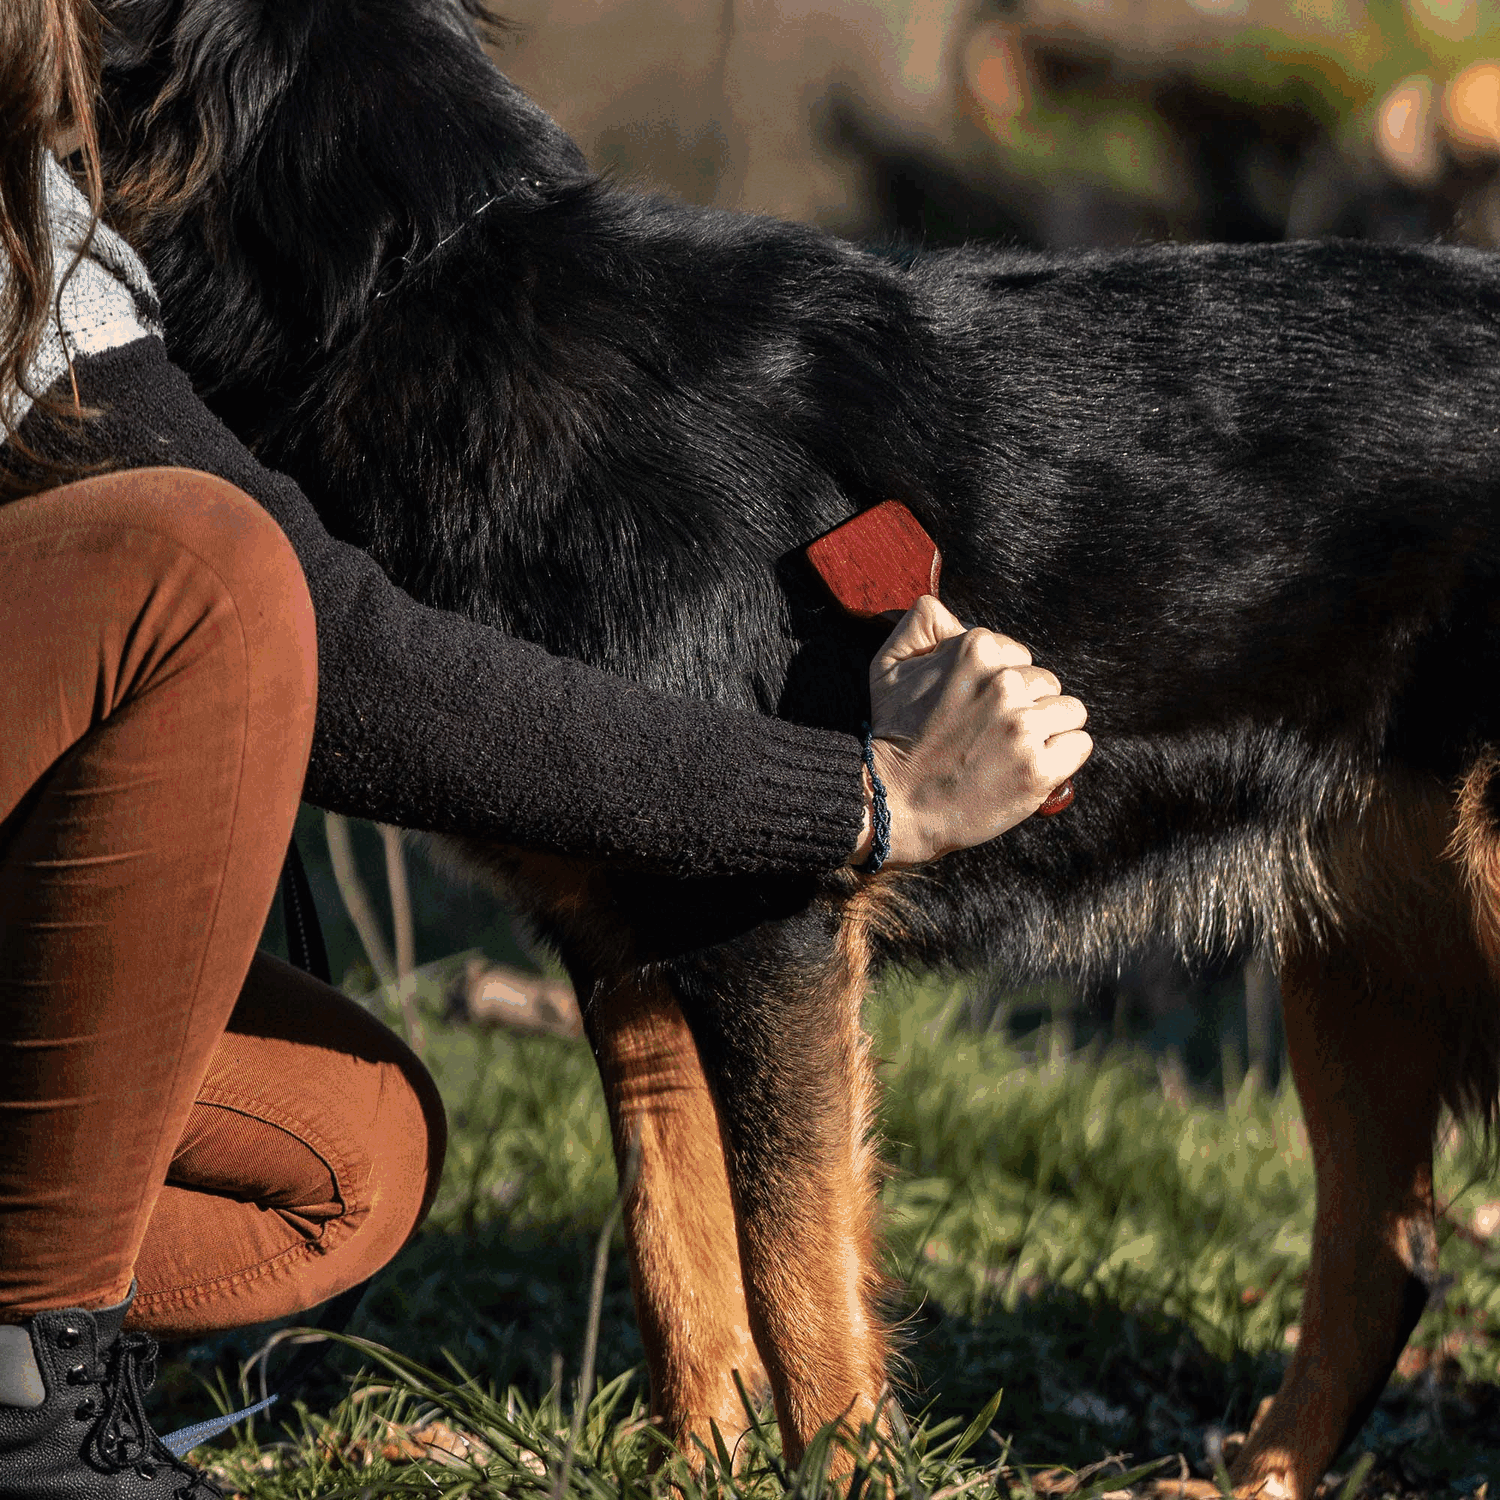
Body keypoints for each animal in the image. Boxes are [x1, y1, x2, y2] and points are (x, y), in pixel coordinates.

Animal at [96, 2, 1500, 1488]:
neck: (418, 284)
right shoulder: (631, 949)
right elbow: (677, 1242)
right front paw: (691, 1468)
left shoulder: (767, 931)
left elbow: (793, 1268)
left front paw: (843, 1469)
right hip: (1363, 955)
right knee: (1382, 1256)